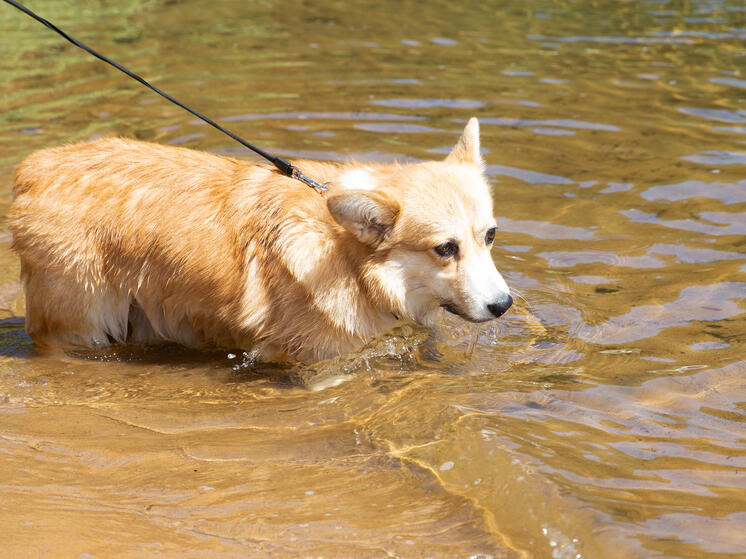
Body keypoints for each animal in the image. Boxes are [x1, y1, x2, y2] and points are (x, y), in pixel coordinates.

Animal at [8, 118, 512, 364]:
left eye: (489, 235)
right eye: (445, 249)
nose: (504, 305)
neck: (353, 262)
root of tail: (31, 169)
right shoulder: (320, 363)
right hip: (81, 325)